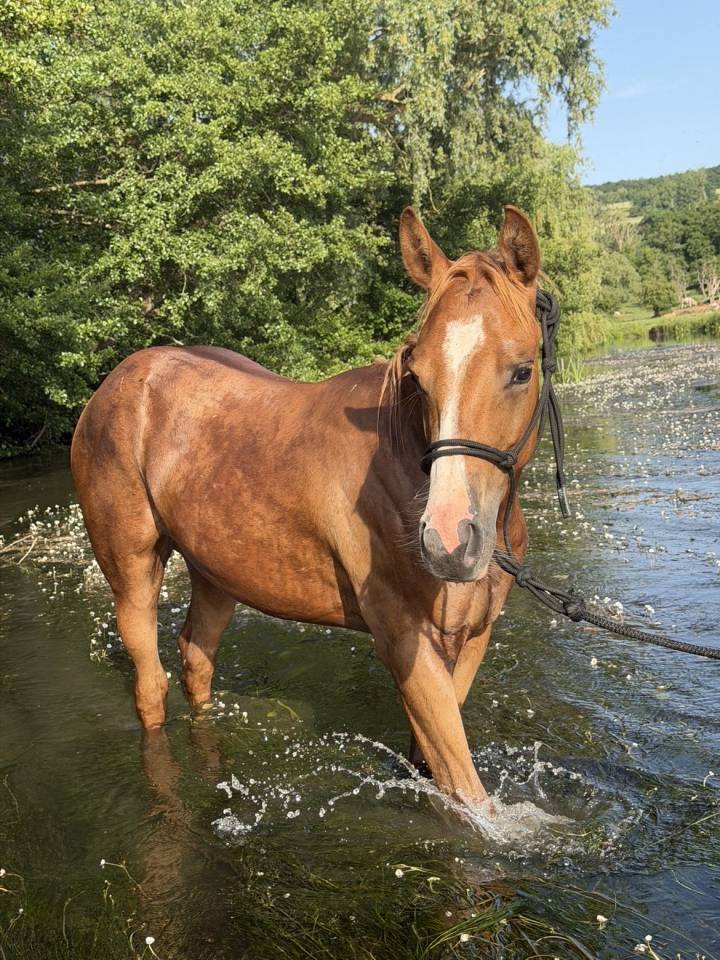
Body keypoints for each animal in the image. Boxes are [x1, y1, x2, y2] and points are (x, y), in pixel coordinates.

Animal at [71, 205, 543, 808]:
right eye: (418, 374)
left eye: (522, 370)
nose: (447, 541)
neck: (402, 459)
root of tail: (113, 385)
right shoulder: (405, 642)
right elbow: (469, 796)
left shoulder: (471, 639)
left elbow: (431, 763)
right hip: (132, 574)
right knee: (151, 686)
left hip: (216, 573)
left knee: (196, 660)